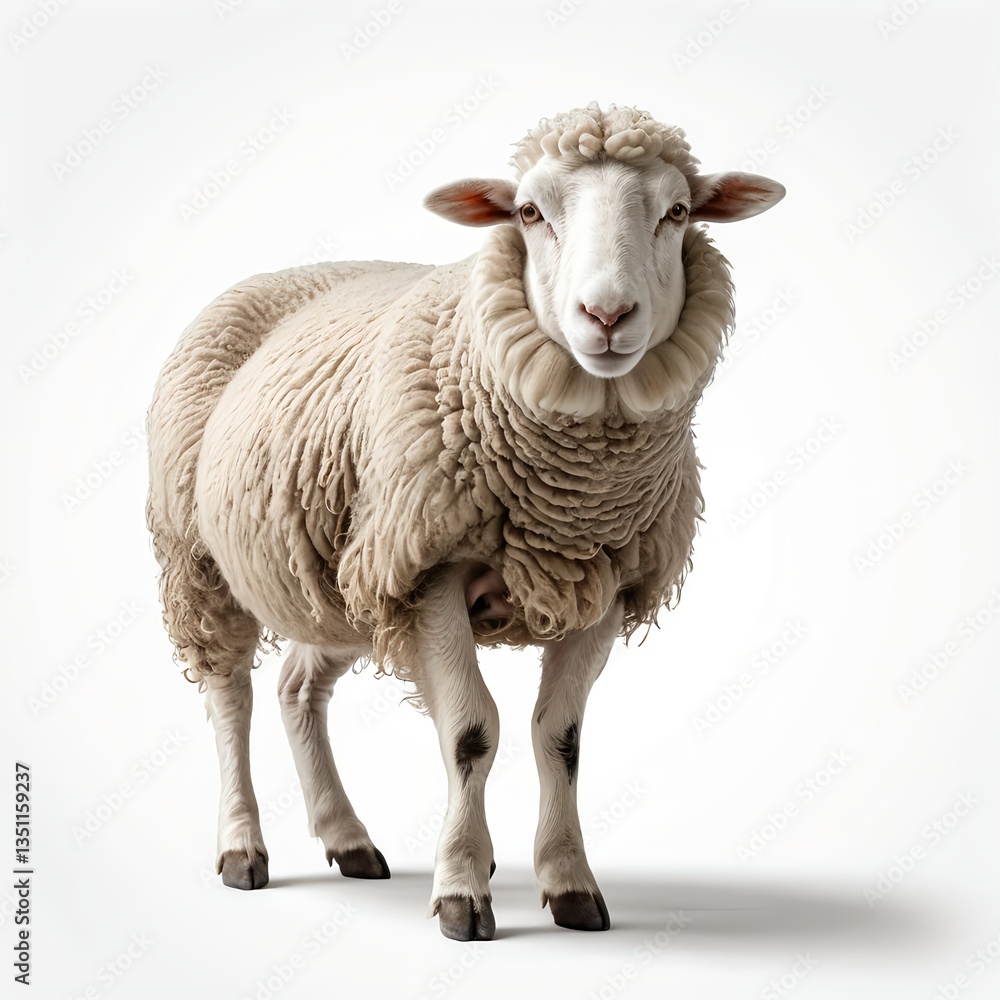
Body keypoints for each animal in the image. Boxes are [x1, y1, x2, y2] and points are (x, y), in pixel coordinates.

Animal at [146, 102, 784, 941]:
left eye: (677, 212)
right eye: (529, 212)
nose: (607, 314)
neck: (571, 495)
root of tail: (282, 273)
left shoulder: (604, 586)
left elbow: (560, 738)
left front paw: (569, 883)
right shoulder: (430, 572)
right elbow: (470, 734)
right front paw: (461, 890)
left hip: (338, 577)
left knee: (296, 688)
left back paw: (347, 838)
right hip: (201, 556)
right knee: (230, 696)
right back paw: (241, 847)